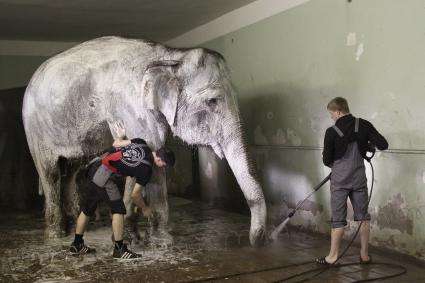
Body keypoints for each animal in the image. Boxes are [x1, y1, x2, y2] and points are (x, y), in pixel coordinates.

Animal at [22, 36, 264, 246]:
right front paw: (136, 236)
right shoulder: (132, 107)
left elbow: (154, 156)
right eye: (212, 101)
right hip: (35, 129)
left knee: (71, 170)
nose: (254, 241)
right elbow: (145, 153)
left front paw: (161, 241)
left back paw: (77, 223)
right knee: (51, 172)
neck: (170, 56)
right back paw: (56, 235)